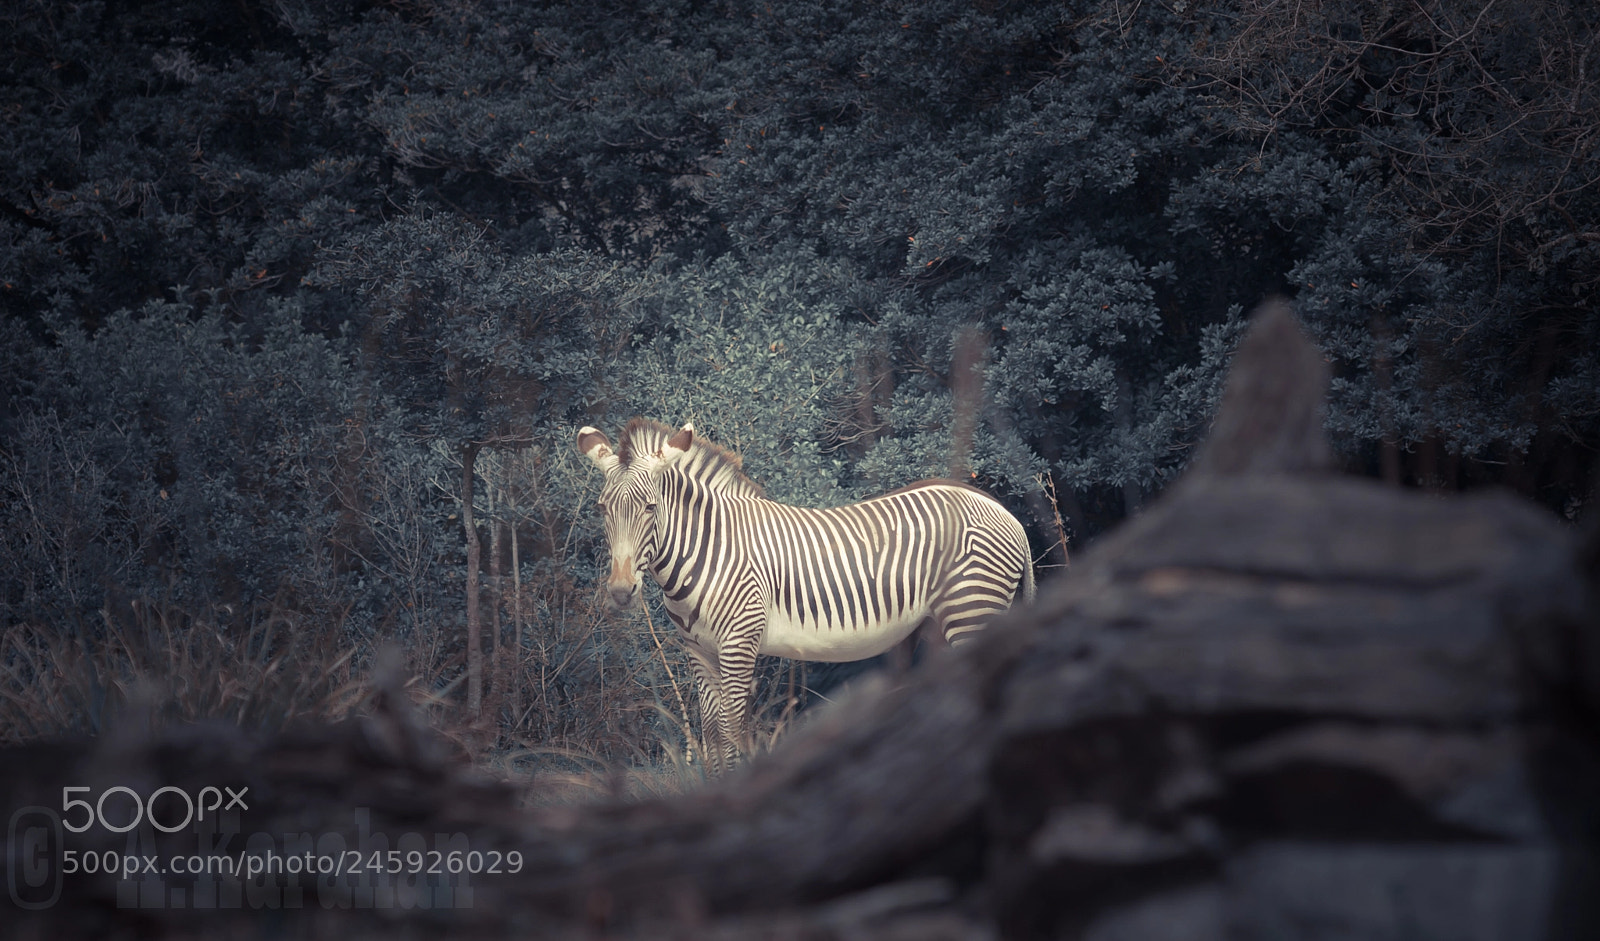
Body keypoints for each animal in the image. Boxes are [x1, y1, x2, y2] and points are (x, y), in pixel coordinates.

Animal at [577, 418, 1035, 771]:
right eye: (602, 509)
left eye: (650, 508)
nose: (620, 592)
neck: (711, 549)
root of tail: (1005, 514)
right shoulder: (698, 651)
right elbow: (711, 734)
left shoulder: (739, 644)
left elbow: (731, 732)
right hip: (940, 625)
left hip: (971, 612)